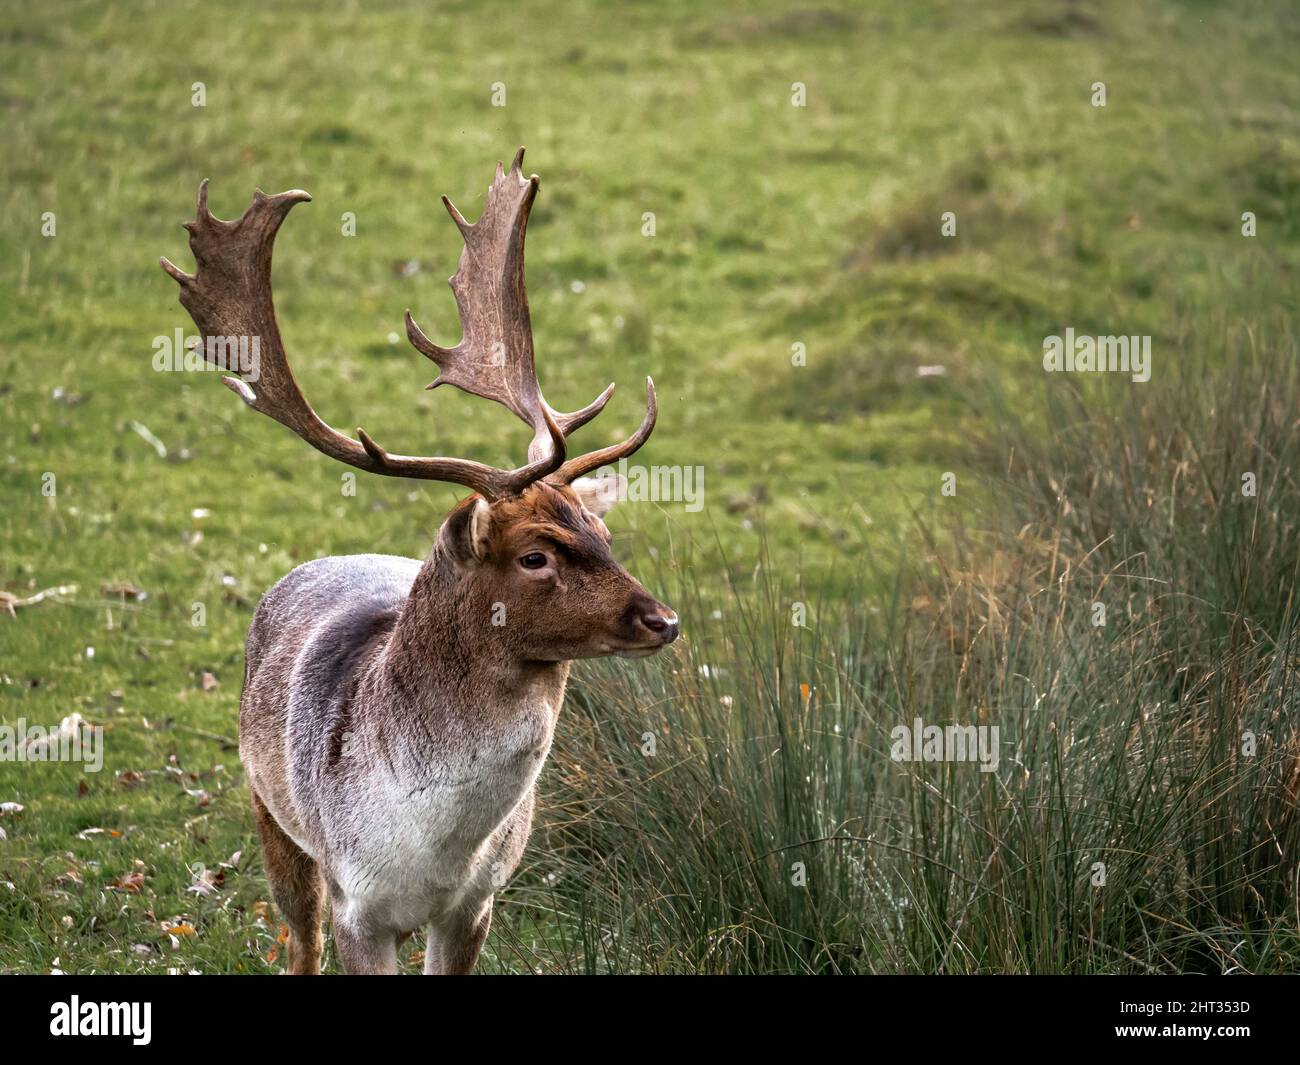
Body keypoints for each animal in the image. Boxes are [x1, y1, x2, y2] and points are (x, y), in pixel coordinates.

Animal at [159, 147, 681, 972]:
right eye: (535, 555)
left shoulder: (477, 902)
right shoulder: (357, 906)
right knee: (297, 942)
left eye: (599, 527)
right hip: (270, 814)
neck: (429, 852)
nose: (662, 618)